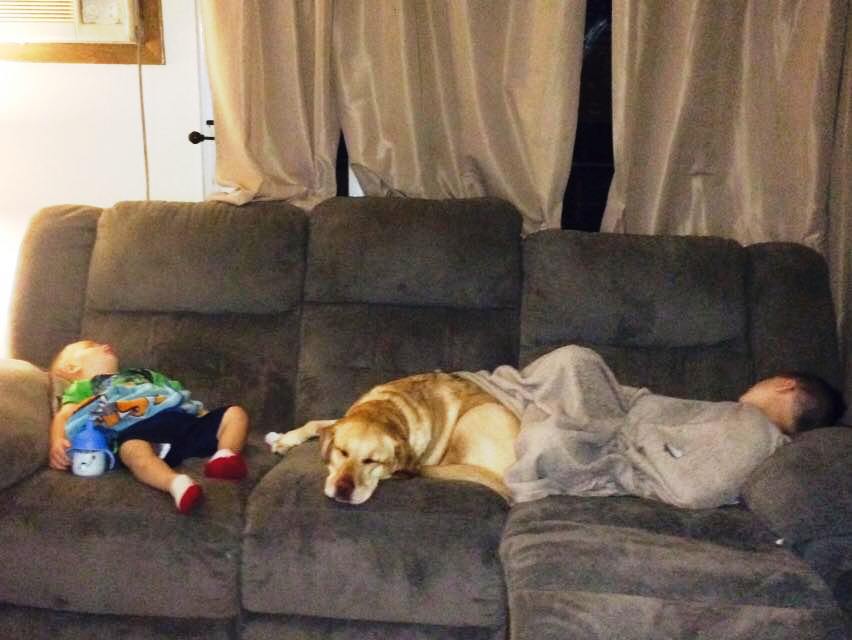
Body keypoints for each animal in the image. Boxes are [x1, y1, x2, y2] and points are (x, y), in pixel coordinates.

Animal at [266, 372, 520, 504]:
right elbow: (314, 423)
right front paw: (284, 439)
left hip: (474, 417)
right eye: (342, 452)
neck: (387, 408)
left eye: (372, 461)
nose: (343, 490)